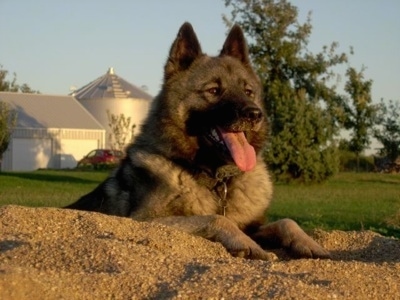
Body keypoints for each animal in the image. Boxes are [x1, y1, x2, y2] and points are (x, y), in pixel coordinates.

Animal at [65, 22, 330, 260]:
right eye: (213, 91)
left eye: (248, 91)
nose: (255, 115)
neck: (216, 180)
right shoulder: (146, 220)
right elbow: (217, 218)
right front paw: (246, 244)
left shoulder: (253, 225)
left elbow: (287, 221)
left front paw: (308, 243)